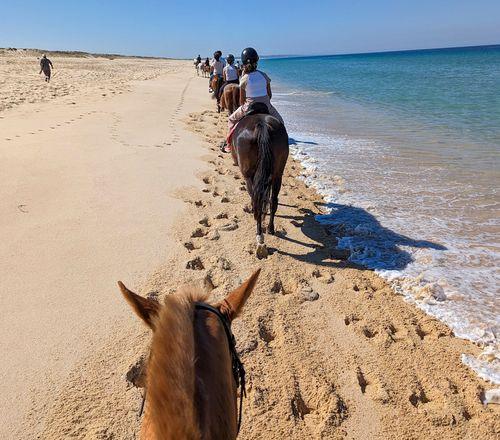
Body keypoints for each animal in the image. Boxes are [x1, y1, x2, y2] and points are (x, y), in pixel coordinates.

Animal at [231, 106, 289, 259]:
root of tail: (262, 125)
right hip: (278, 173)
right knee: (273, 200)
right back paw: (270, 228)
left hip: (248, 175)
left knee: (256, 199)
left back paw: (259, 233)